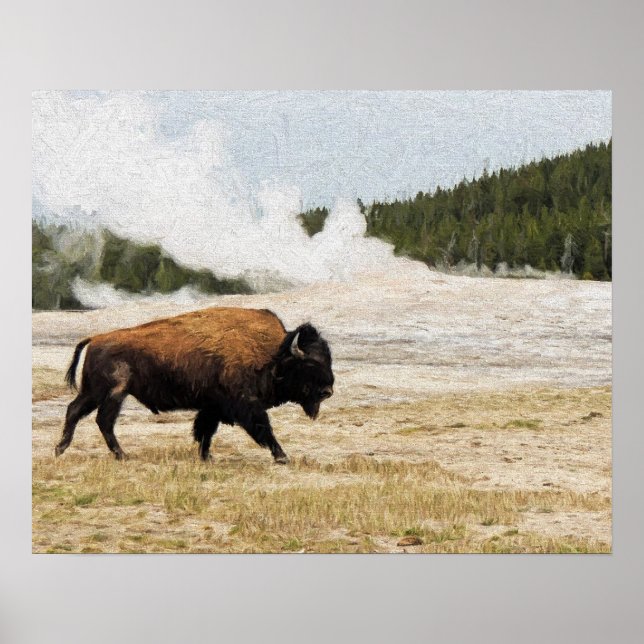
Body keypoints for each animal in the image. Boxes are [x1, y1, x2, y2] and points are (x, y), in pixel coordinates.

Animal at [55, 307, 334, 463]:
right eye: (310, 364)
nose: (328, 391)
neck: (273, 354)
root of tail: (96, 338)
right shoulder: (245, 405)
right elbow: (263, 429)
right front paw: (282, 456)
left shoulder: (213, 407)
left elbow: (205, 431)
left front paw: (206, 457)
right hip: (112, 393)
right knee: (103, 420)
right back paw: (121, 455)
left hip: (94, 392)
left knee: (76, 411)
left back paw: (61, 449)